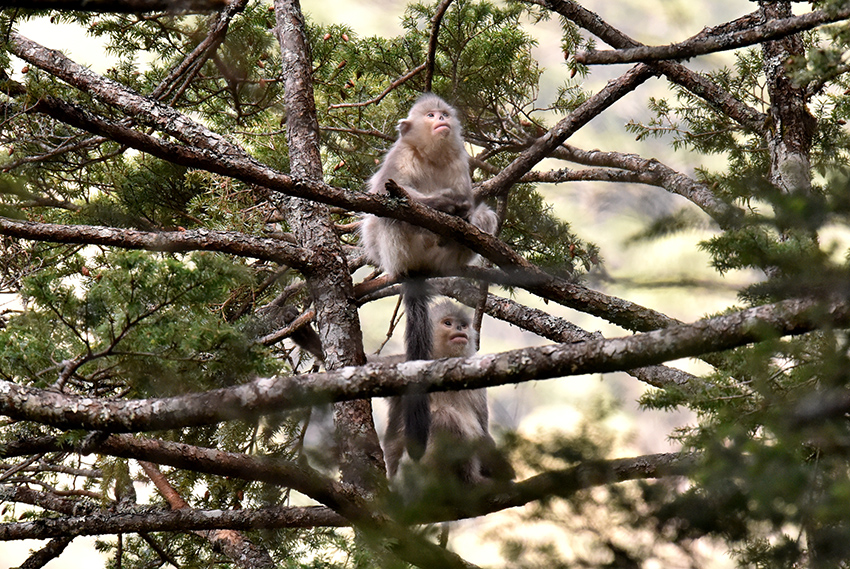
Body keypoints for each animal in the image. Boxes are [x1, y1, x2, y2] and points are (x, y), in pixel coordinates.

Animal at [360, 94, 498, 461]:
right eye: (431, 115)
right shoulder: (400, 157)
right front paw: (443, 202)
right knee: (393, 215)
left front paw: (463, 212)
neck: (432, 155)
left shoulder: (459, 160)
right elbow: (386, 195)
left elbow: (472, 201)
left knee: (482, 216)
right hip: (396, 251)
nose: (441, 120)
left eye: (443, 113)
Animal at [381, 301, 514, 488]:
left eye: (463, 325)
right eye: (448, 323)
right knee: (444, 417)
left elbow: (483, 430)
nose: (459, 328)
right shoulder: (400, 363)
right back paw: (470, 481)